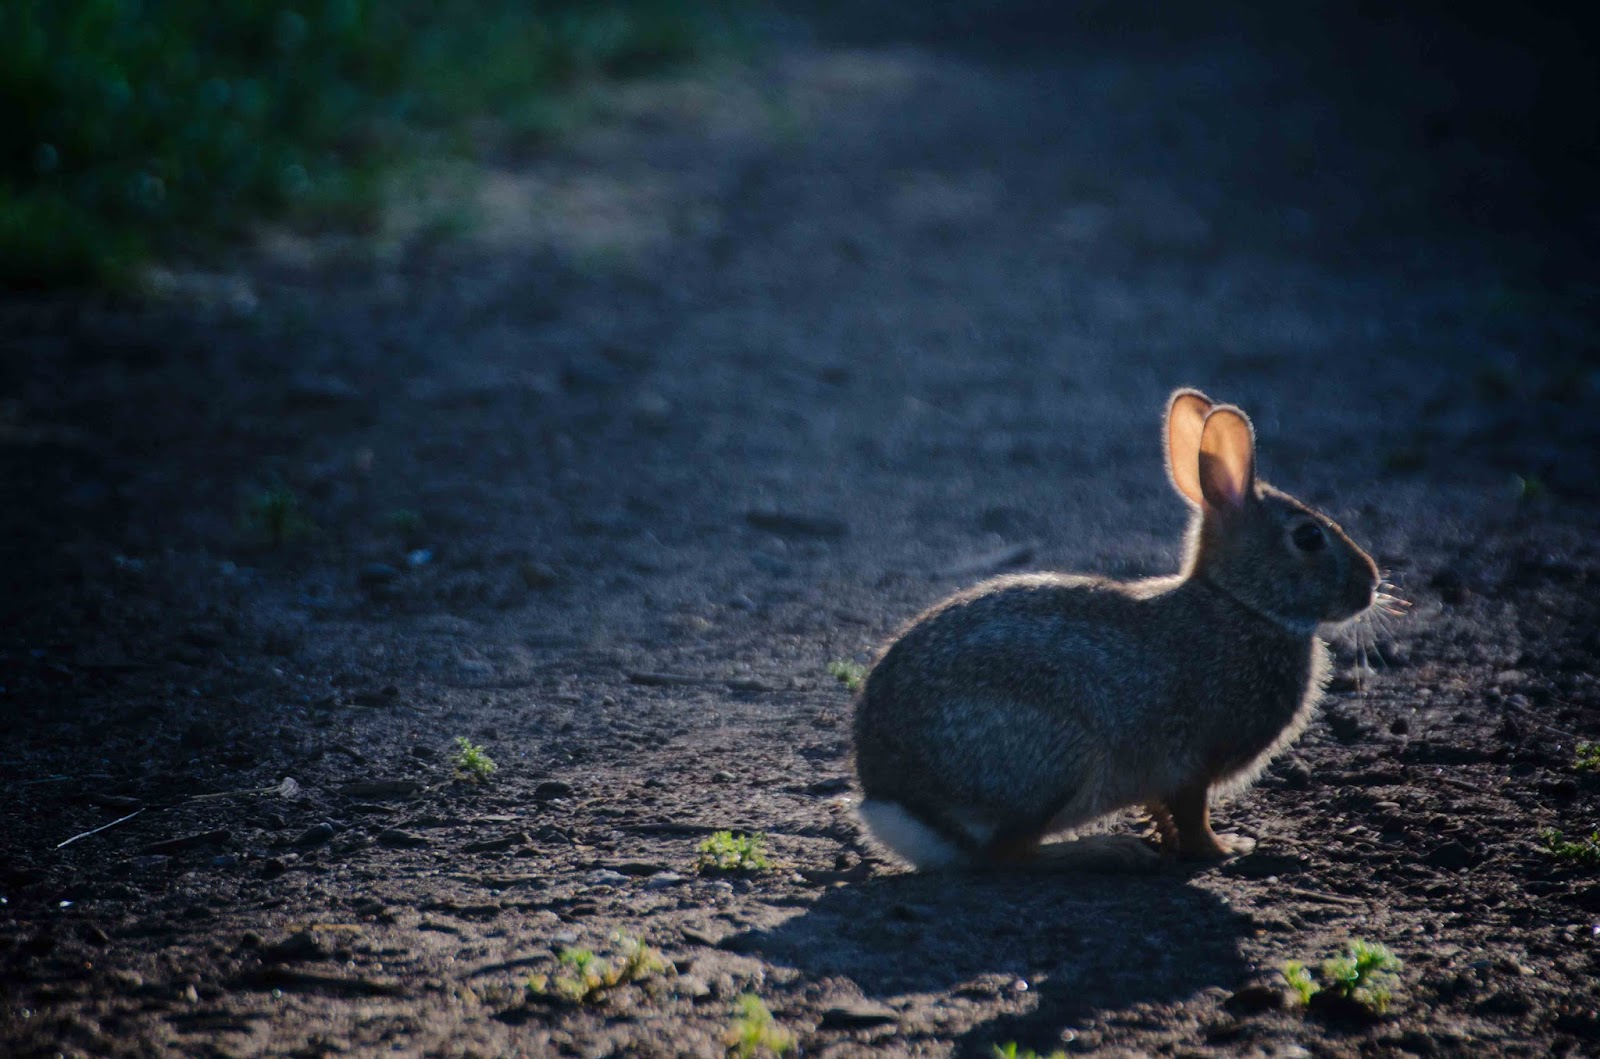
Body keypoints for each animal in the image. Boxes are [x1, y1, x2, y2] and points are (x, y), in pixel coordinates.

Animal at [853, 388, 1379, 870]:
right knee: (1006, 854)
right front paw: (1224, 849)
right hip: (1058, 757)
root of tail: (897, 804)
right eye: (1308, 538)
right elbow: (1193, 812)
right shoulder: (1193, 761)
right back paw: (1104, 849)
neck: (1240, 603)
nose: (1372, 584)